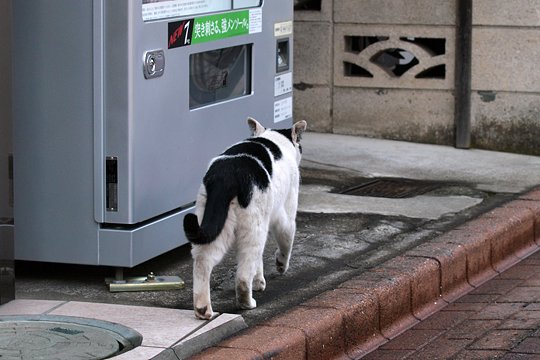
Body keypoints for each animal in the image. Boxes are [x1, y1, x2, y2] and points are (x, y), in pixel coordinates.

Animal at [184, 116, 306, 320]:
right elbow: (286, 242)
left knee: (203, 261)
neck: (273, 139)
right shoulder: (285, 215)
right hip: (254, 228)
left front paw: (258, 282)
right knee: (242, 275)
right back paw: (246, 303)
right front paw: (280, 266)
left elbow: (259, 262)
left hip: (214, 225)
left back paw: (203, 309)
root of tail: (227, 175)